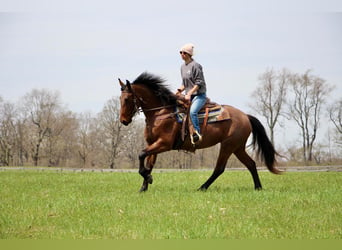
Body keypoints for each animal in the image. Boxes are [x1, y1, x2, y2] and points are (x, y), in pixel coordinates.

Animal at [117, 71, 280, 192]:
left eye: (127, 99)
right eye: (120, 98)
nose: (123, 120)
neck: (160, 113)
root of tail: (245, 116)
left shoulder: (164, 144)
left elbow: (141, 155)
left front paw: (148, 179)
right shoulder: (153, 144)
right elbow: (148, 164)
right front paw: (143, 187)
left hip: (228, 146)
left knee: (219, 168)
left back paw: (202, 187)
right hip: (237, 147)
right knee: (251, 164)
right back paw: (258, 187)